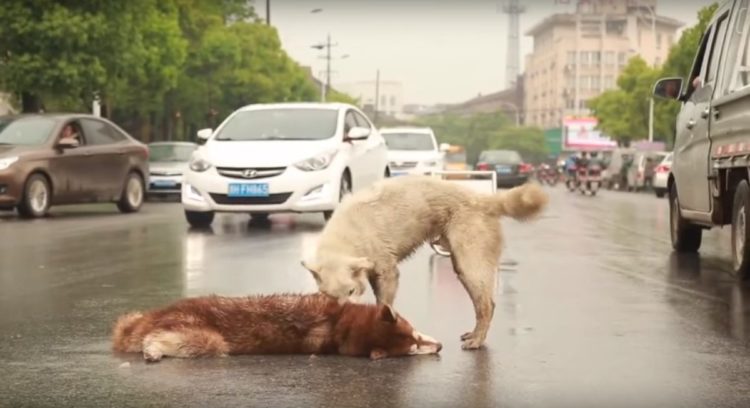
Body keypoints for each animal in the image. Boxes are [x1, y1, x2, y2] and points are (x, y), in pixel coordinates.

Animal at [302, 174, 548, 350]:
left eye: (352, 291)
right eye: (331, 297)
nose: (345, 316)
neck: (346, 239)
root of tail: (482, 199)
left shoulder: (388, 272)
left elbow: (384, 304)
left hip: (470, 265)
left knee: (487, 305)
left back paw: (477, 340)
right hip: (461, 266)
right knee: (483, 304)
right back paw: (474, 333)